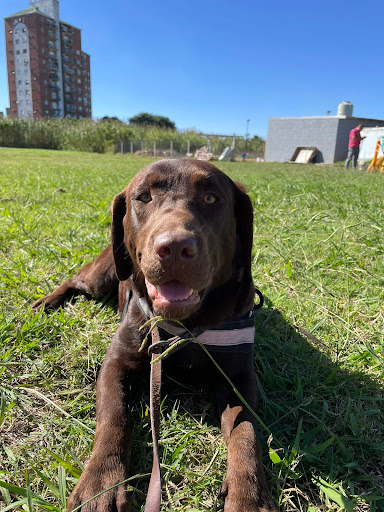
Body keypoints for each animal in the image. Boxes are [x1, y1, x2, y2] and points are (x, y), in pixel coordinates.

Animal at [32, 160, 276, 512]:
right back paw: (45, 303)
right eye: (144, 197)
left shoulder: (238, 380)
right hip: (102, 275)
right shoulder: (116, 363)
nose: (173, 247)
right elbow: (114, 417)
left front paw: (249, 496)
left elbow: (247, 433)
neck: (186, 326)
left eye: (212, 198)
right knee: (74, 281)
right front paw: (101, 484)